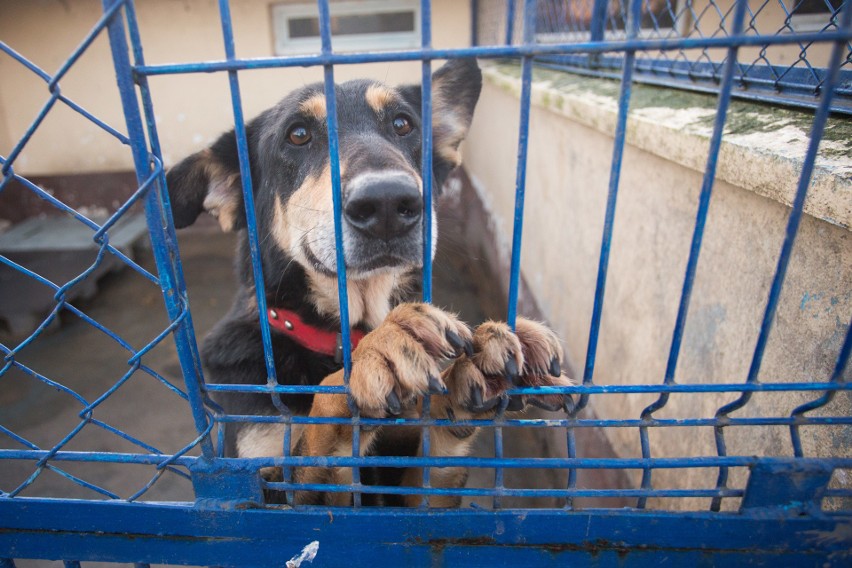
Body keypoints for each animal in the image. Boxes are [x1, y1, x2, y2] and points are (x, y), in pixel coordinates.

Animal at [165, 60, 572, 508]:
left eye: (403, 124)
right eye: (298, 134)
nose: (388, 202)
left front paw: (474, 362)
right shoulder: (254, 490)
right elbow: (315, 430)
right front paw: (381, 348)